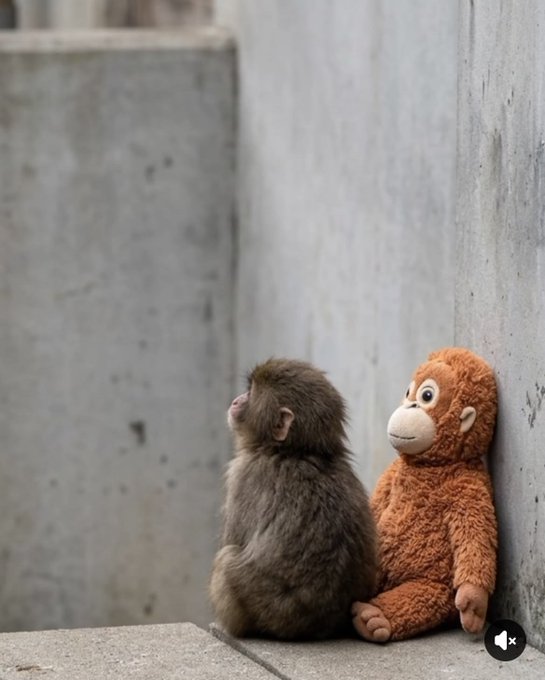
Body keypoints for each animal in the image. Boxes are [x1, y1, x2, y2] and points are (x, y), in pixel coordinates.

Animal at [209, 358, 378, 640]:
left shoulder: (243, 475)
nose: (236, 401)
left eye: (251, 394)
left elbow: (233, 540)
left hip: (261, 608)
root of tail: (315, 628)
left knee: (227, 560)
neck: (295, 451)